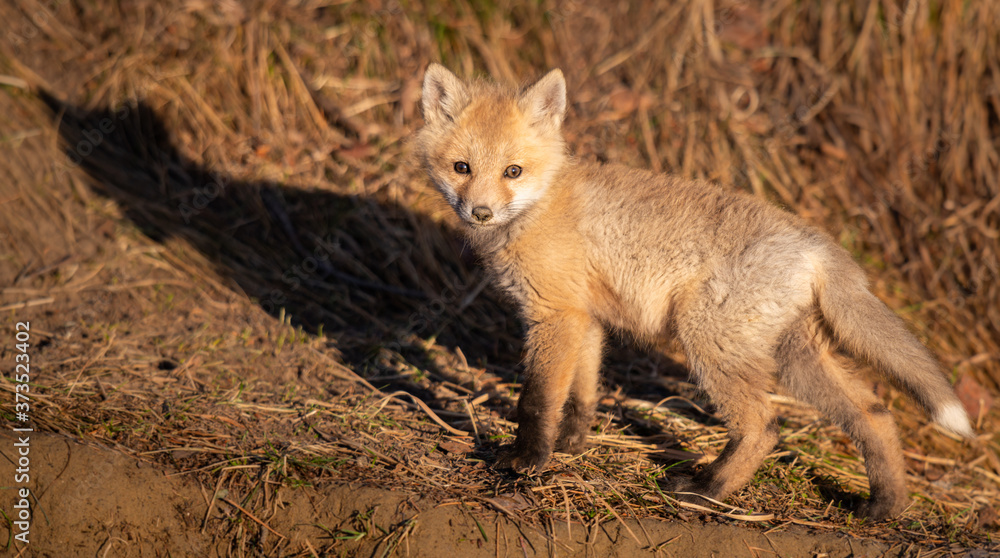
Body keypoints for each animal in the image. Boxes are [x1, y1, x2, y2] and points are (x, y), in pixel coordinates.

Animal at [414, 63, 974, 520]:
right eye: (462, 168)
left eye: (513, 171)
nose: (480, 213)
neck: (542, 203)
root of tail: (816, 242)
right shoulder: (586, 318)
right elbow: (582, 394)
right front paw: (572, 445)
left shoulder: (555, 316)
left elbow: (536, 400)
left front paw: (528, 460)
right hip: (797, 360)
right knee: (874, 416)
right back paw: (884, 508)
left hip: (708, 342)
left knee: (764, 427)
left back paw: (706, 492)